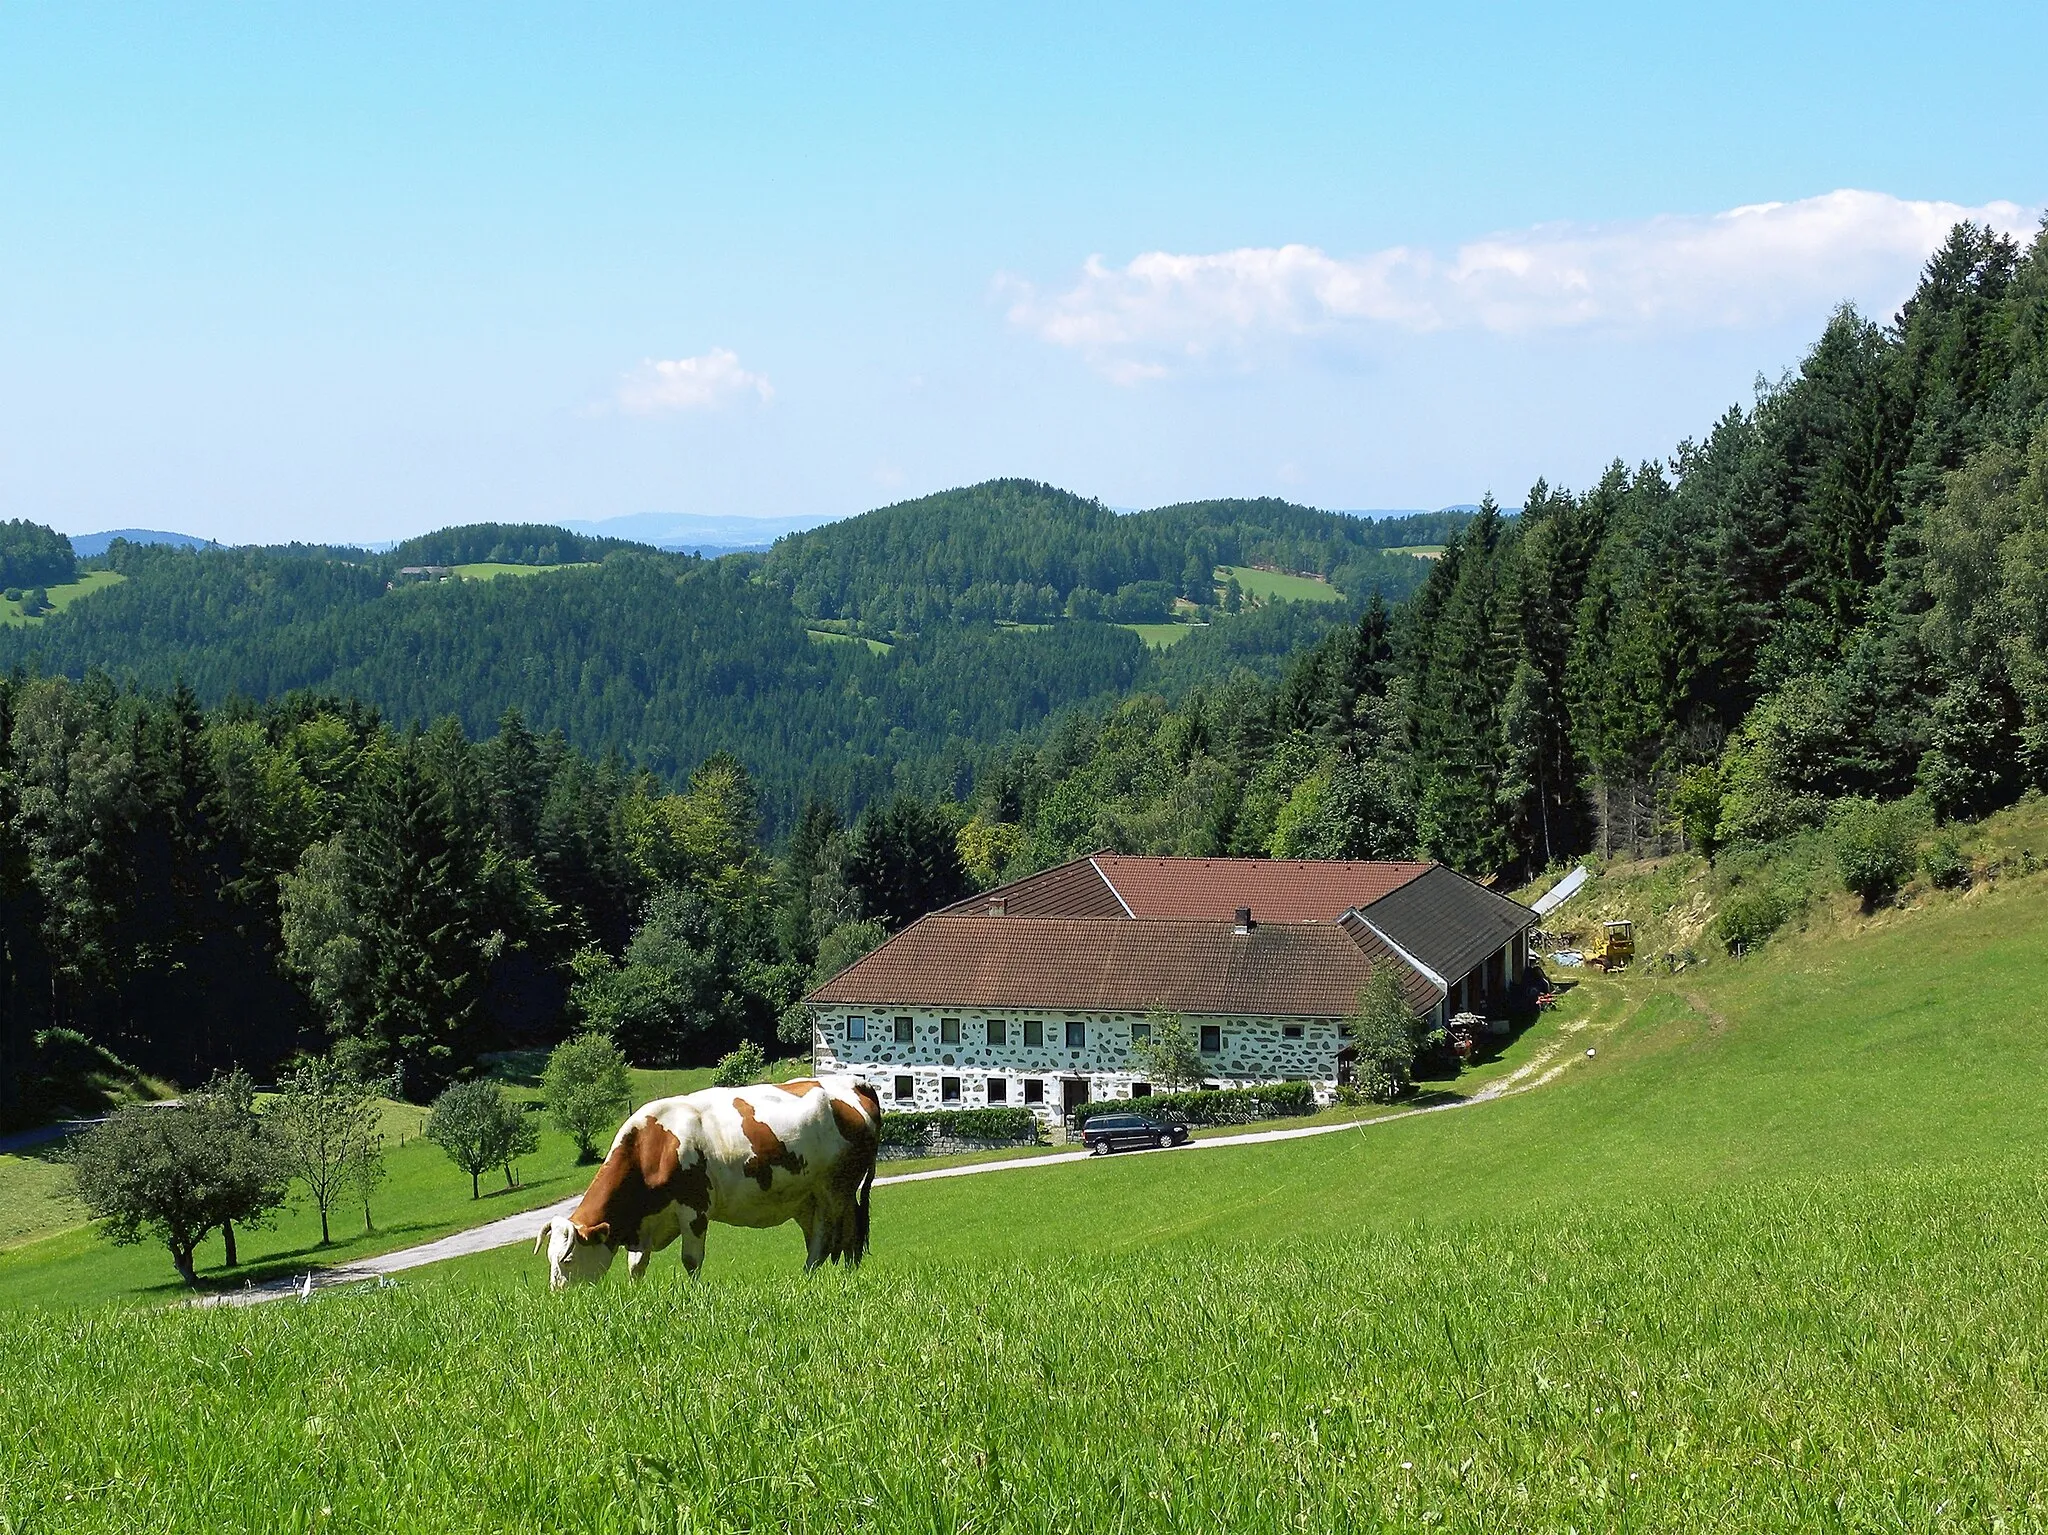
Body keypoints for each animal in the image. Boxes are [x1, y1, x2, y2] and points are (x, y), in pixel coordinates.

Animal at [532, 1072, 876, 1293]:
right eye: (549, 1258)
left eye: (568, 1259)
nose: (558, 1297)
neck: (652, 1146)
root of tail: (851, 1083)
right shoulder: (645, 1225)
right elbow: (636, 1265)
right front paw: (635, 1295)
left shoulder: (694, 1209)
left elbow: (691, 1260)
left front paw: (695, 1296)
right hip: (806, 1198)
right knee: (821, 1239)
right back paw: (809, 1275)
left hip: (837, 1188)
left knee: (843, 1232)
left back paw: (841, 1274)